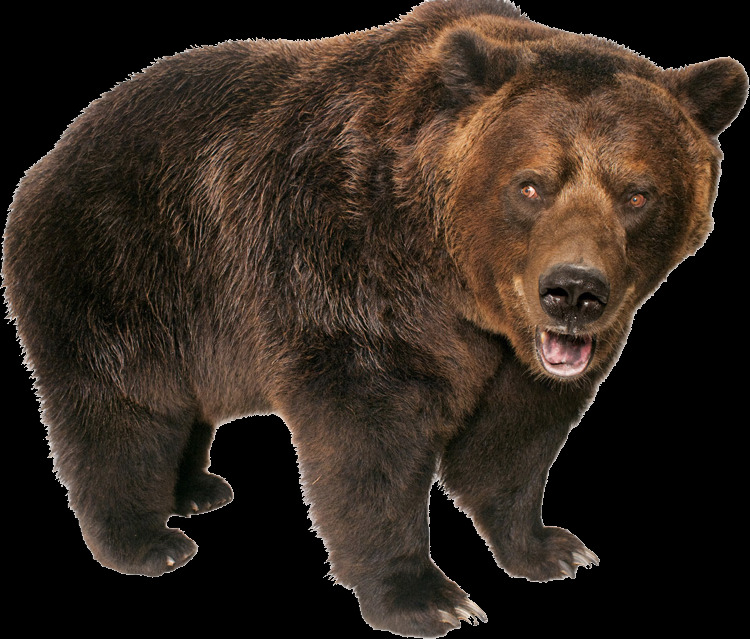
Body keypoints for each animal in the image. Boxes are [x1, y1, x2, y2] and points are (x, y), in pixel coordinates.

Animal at [2, 0, 747, 635]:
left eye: (638, 193)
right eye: (532, 184)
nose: (573, 290)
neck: (459, 283)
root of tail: (56, 148)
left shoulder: (521, 353)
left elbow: (514, 437)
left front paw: (550, 546)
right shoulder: (350, 269)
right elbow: (371, 440)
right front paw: (426, 596)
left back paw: (197, 488)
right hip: (125, 269)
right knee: (122, 411)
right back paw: (146, 538)